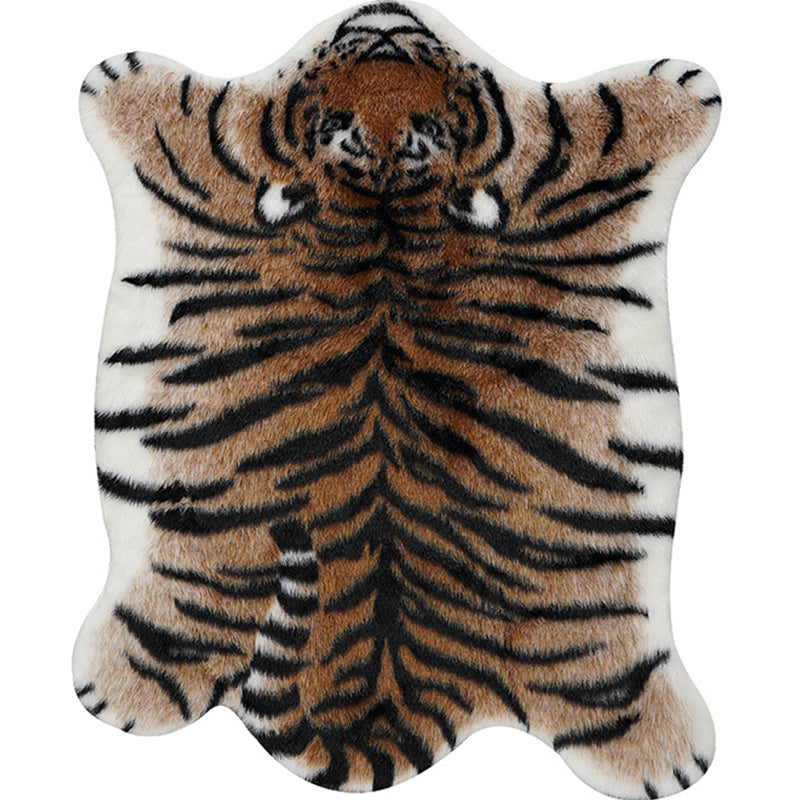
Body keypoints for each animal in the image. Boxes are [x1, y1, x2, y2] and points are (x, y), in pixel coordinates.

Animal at [73, 2, 721, 798]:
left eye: (439, 114)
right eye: (329, 112)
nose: (384, 21)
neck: (382, 201)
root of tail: (386, 706)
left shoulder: (561, 165)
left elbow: (606, 113)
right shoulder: (220, 147)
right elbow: (191, 110)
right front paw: (116, 77)